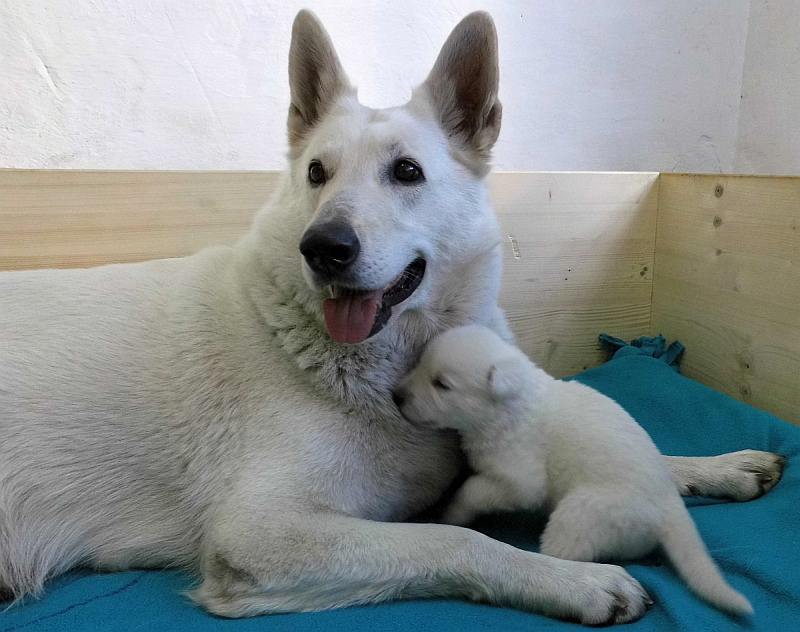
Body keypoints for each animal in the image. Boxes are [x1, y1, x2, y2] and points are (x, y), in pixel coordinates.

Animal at [396, 326, 752, 616]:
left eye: (441, 384)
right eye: (419, 364)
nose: (396, 396)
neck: (512, 402)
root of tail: (669, 509)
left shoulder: (519, 475)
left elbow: (477, 489)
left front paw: (452, 512)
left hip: (582, 514)